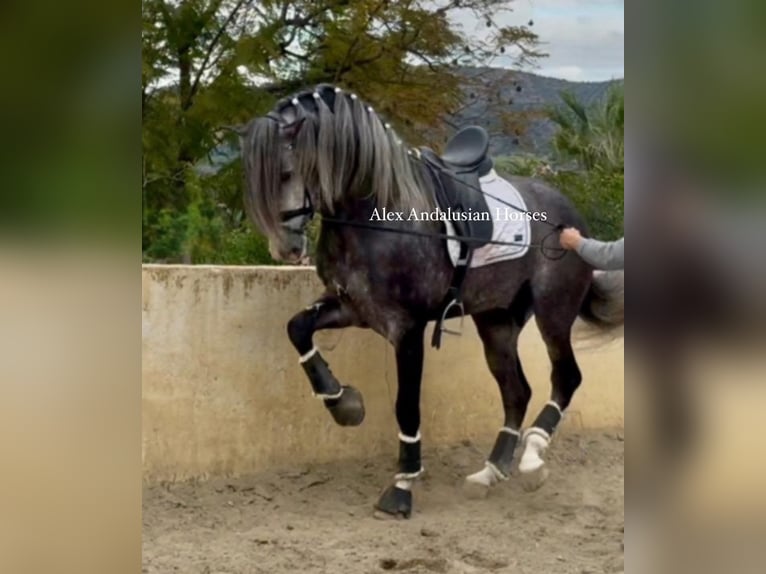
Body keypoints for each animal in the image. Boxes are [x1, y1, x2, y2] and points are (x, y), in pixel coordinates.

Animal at [240, 85, 624, 520]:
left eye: (286, 173)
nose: (285, 248)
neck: (378, 213)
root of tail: (571, 221)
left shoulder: (407, 328)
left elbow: (406, 404)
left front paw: (402, 486)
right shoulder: (352, 307)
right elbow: (298, 328)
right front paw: (343, 403)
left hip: (553, 312)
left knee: (565, 378)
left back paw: (532, 459)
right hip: (496, 320)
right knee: (516, 392)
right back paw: (489, 473)